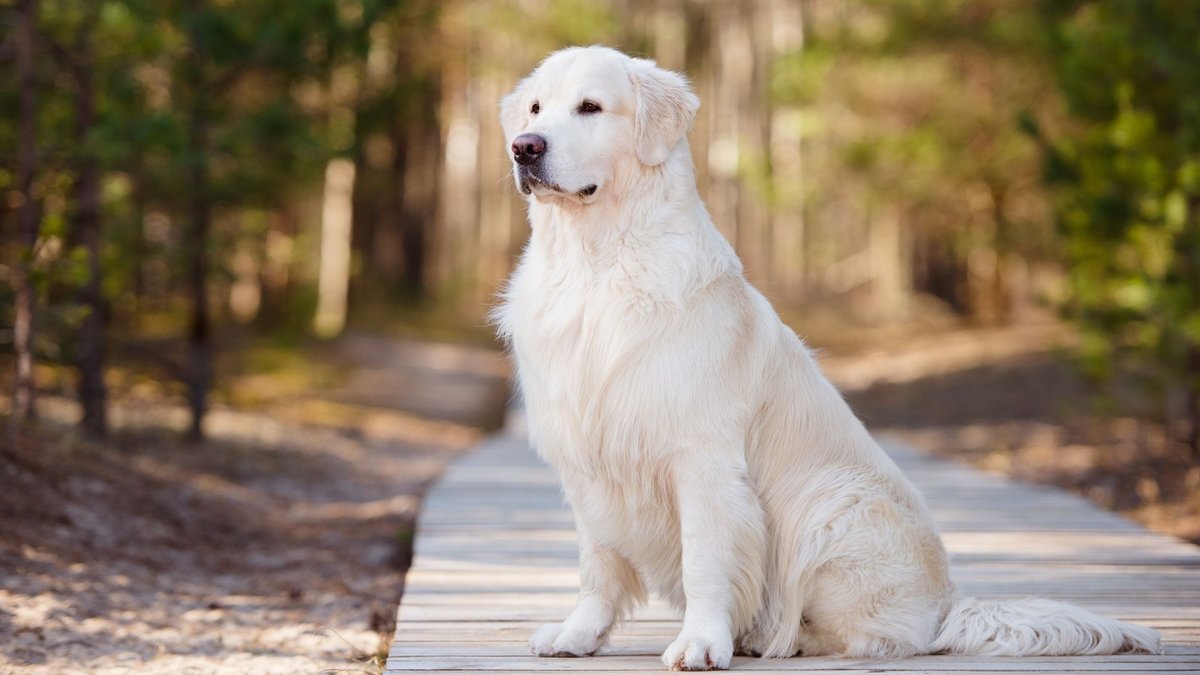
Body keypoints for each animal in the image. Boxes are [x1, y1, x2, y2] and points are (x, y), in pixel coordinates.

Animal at [489, 45, 1161, 667]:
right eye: (535, 109)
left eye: (591, 107)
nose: (524, 148)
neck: (597, 265)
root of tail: (950, 604)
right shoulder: (588, 457)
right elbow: (598, 564)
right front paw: (578, 635)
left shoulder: (701, 458)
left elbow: (705, 560)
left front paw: (702, 642)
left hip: (832, 502)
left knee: (883, 636)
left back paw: (780, 638)